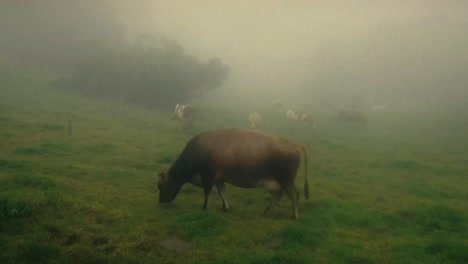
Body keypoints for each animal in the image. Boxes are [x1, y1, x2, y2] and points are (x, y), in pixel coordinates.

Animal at [158, 128, 310, 219]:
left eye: (160, 186)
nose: (160, 201)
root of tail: (295, 144)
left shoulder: (208, 176)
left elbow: (207, 192)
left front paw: (204, 208)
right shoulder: (219, 178)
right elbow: (222, 193)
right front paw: (225, 207)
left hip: (286, 179)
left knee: (294, 195)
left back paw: (294, 216)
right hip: (276, 182)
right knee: (277, 196)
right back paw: (265, 213)